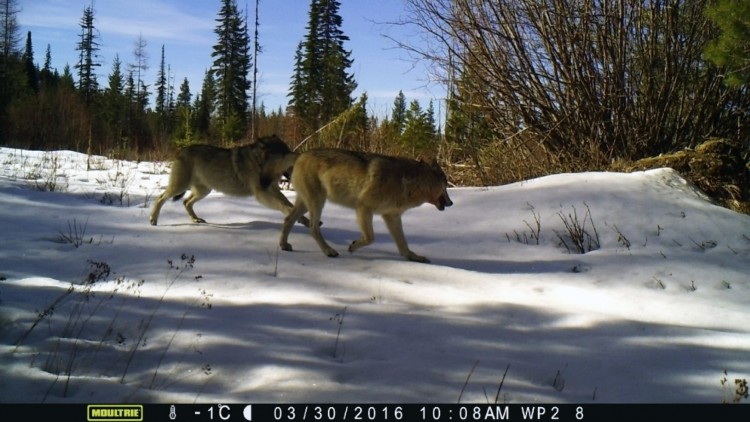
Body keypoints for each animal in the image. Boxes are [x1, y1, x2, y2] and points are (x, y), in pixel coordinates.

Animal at [149, 135, 310, 227]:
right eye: (286, 153)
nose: (298, 155)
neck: (259, 162)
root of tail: (181, 150)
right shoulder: (261, 194)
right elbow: (284, 206)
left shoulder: (272, 189)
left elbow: (288, 204)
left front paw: (304, 220)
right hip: (180, 187)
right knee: (160, 198)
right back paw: (153, 220)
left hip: (203, 191)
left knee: (186, 202)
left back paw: (196, 220)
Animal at [279, 148, 453, 263]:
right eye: (445, 185)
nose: (451, 203)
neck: (407, 183)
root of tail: (301, 155)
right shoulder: (363, 208)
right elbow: (370, 238)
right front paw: (353, 246)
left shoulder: (392, 216)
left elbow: (403, 244)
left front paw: (414, 257)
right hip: (318, 202)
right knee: (313, 228)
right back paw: (329, 251)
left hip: (306, 204)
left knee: (288, 220)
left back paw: (284, 245)